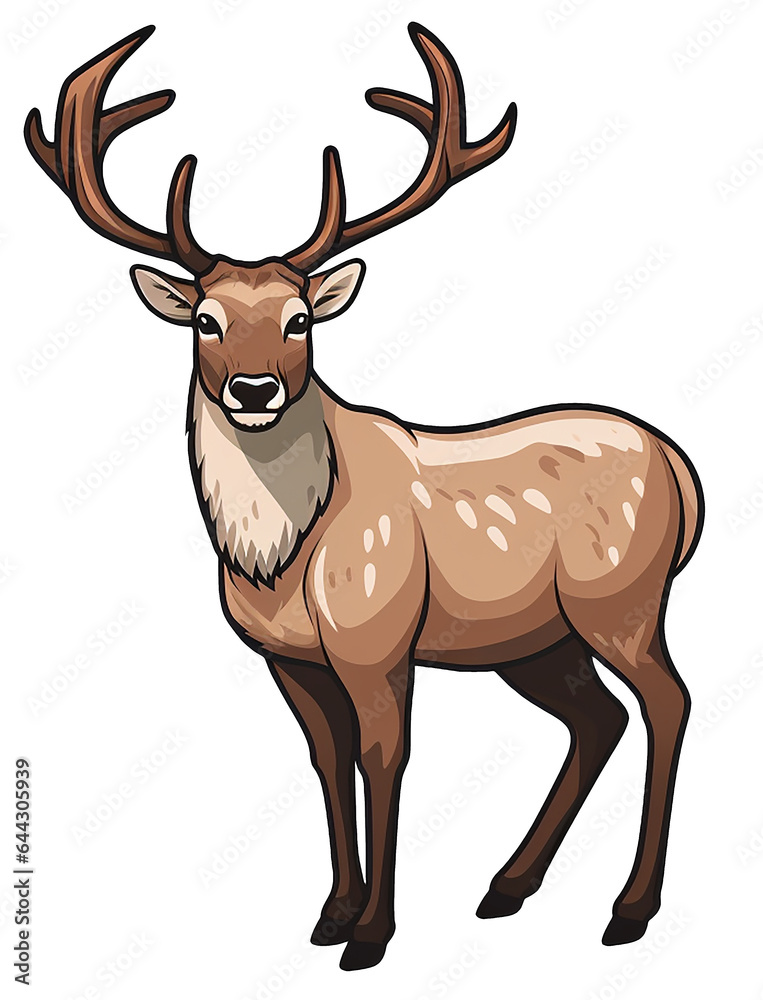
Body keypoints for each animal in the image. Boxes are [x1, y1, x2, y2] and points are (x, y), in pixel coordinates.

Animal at [26, 23, 703, 972]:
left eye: (301, 318)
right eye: (204, 319)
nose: (254, 389)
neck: (282, 554)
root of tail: (680, 466)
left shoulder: (378, 636)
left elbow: (385, 757)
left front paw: (373, 935)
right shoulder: (288, 657)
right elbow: (326, 760)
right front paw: (331, 913)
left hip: (623, 599)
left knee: (666, 704)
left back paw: (629, 909)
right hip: (537, 639)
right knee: (596, 718)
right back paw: (506, 886)